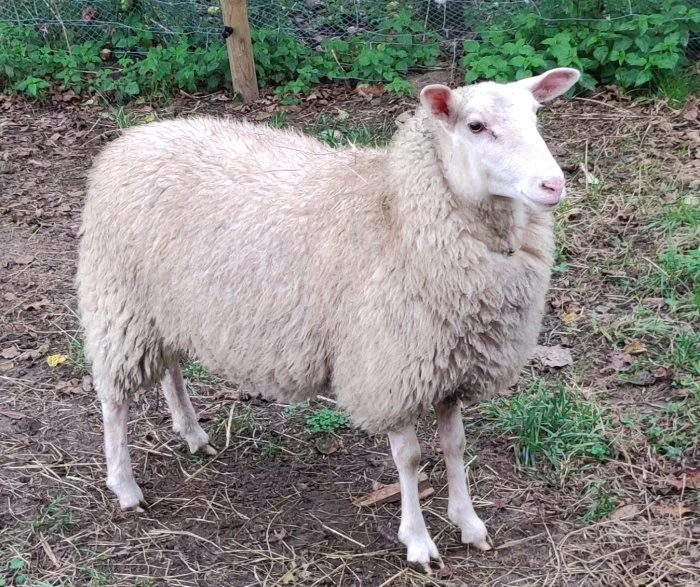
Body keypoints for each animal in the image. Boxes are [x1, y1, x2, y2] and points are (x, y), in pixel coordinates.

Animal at [76, 66, 580, 572]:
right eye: (476, 126)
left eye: (536, 114)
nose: (553, 185)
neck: (397, 212)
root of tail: (133, 138)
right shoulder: (390, 370)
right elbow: (411, 459)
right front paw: (418, 541)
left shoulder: (448, 366)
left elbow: (455, 445)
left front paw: (469, 523)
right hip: (121, 302)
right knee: (114, 400)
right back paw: (125, 486)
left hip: (166, 305)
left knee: (171, 367)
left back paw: (193, 433)